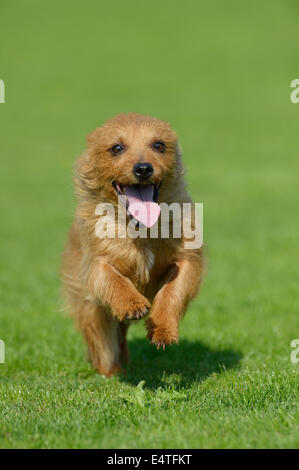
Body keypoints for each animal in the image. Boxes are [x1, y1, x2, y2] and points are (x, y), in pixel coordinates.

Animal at [62, 114, 205, 378]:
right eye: (117, 148)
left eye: (159, 145)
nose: (143, 168)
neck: (141, 229)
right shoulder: (95, 262)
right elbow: (111, 278)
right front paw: (131, 303)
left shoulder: (187, 260)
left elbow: (173, 291)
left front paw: (163, 329)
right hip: (90, 310)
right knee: (104, 342)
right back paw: (112, 371)